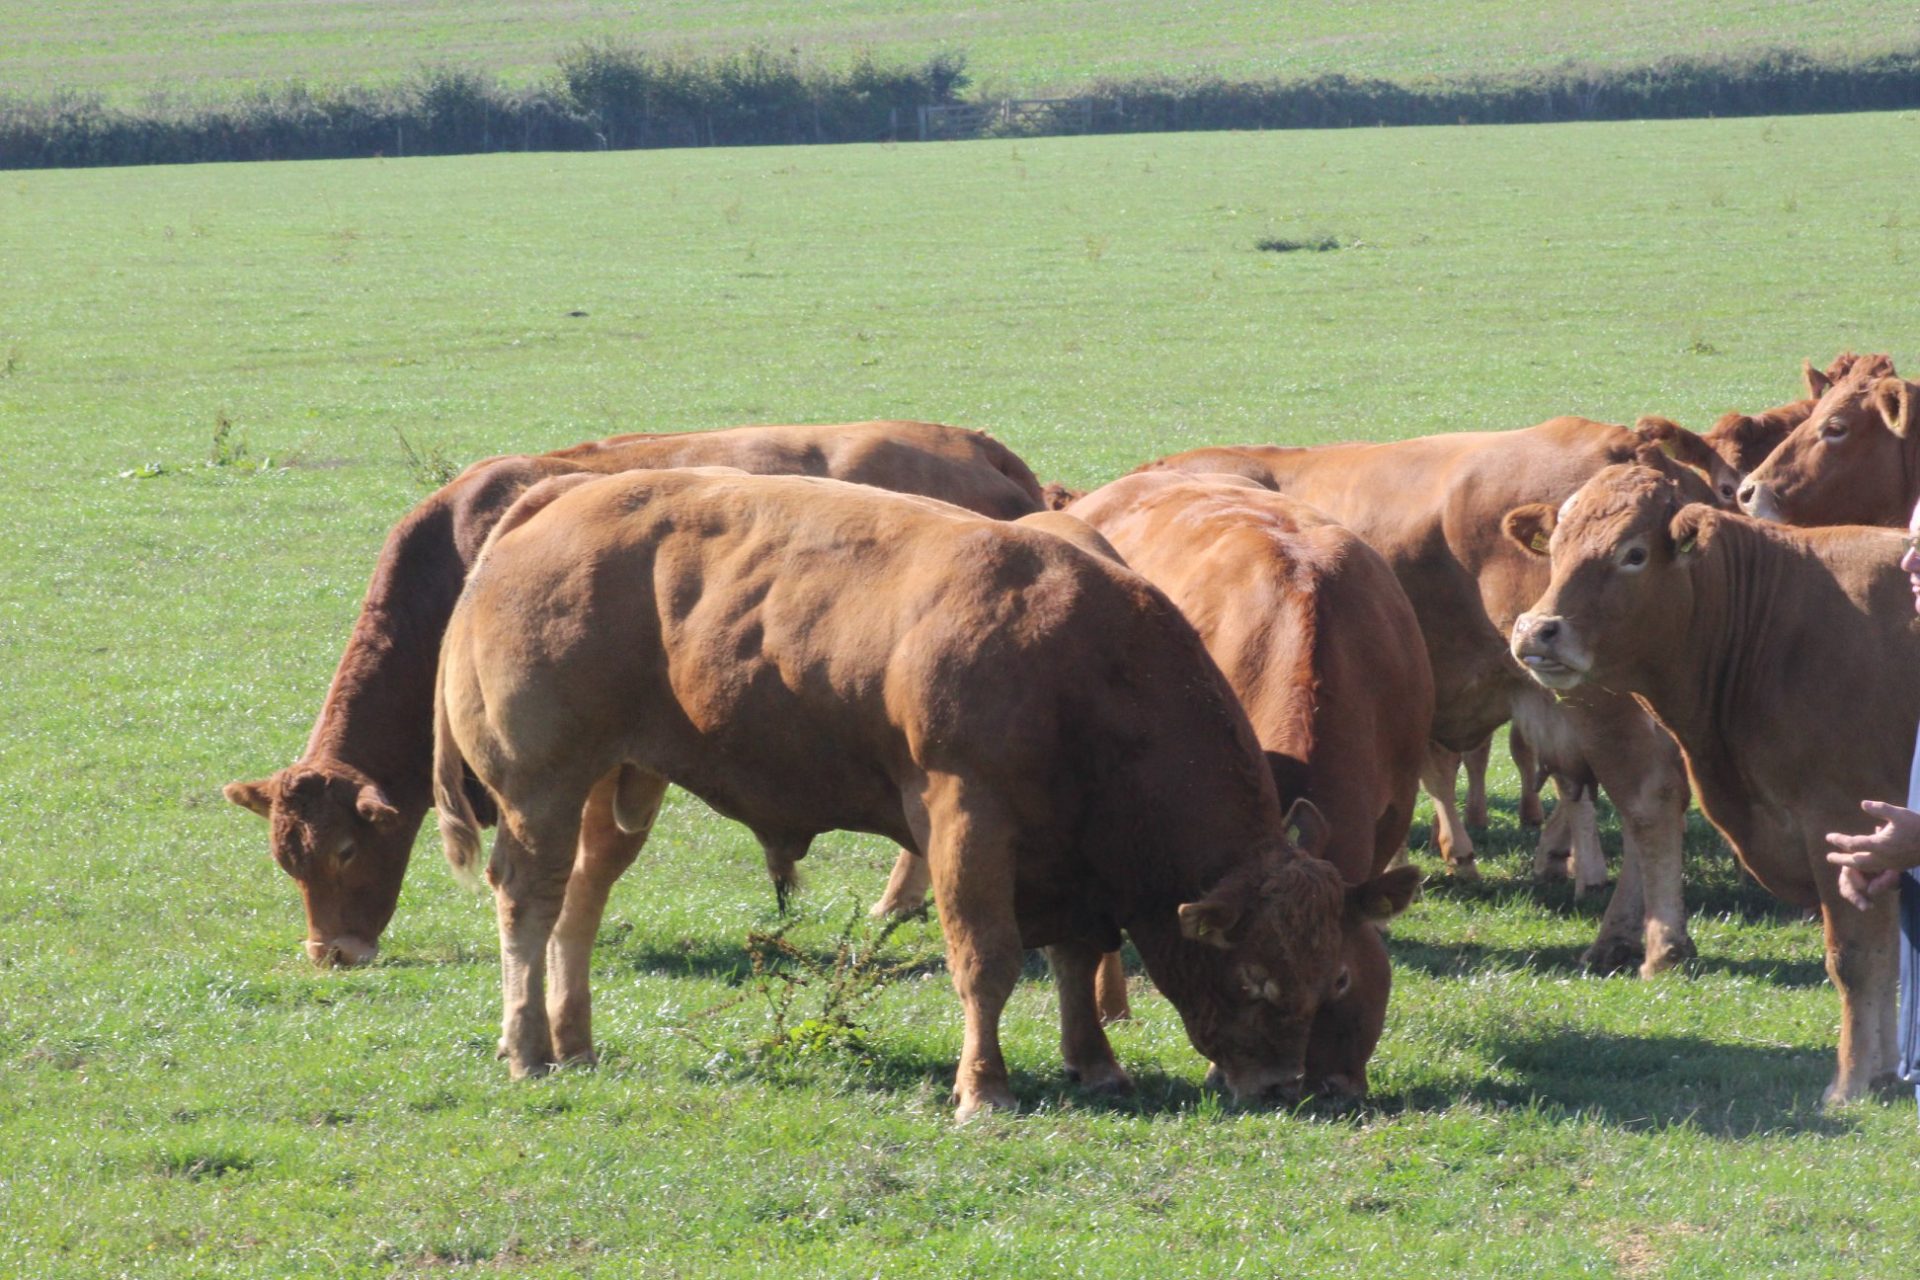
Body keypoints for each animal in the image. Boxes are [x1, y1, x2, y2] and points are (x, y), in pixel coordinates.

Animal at [439, 474, 1428, 1120]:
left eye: (1332, 976)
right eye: (1257, 977)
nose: (1282, 1088)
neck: (1084, 667)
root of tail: (556, 499)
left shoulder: (1074, 861)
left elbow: (1079, 955)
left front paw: (1096, 1064)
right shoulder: (966, 819)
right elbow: (987, 960)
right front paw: (983, 1089)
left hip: (618, 785)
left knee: (580, 902)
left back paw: (573, 1039)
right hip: (542, 786)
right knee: (529, 902)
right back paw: (528, 1048)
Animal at [1512, 466, 1920, 1105]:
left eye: (1633, 554)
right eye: (1554, 549)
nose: (1537, 630)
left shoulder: (1844, 819)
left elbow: (1853, 958)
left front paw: (1848, 1083)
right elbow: (1879, 958)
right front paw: (1876, 1075)